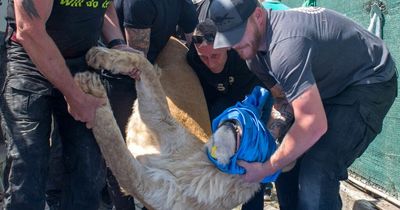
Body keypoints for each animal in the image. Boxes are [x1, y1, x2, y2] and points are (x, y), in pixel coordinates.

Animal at [75, 40, 292, 208]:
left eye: (258, 134)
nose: (234, 120)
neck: (206, 167)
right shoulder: (162, 121)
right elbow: (140, 62)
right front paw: (100, 56)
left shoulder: (143, 184)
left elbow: (116, 151)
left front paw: (91, 91)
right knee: (147, 64)